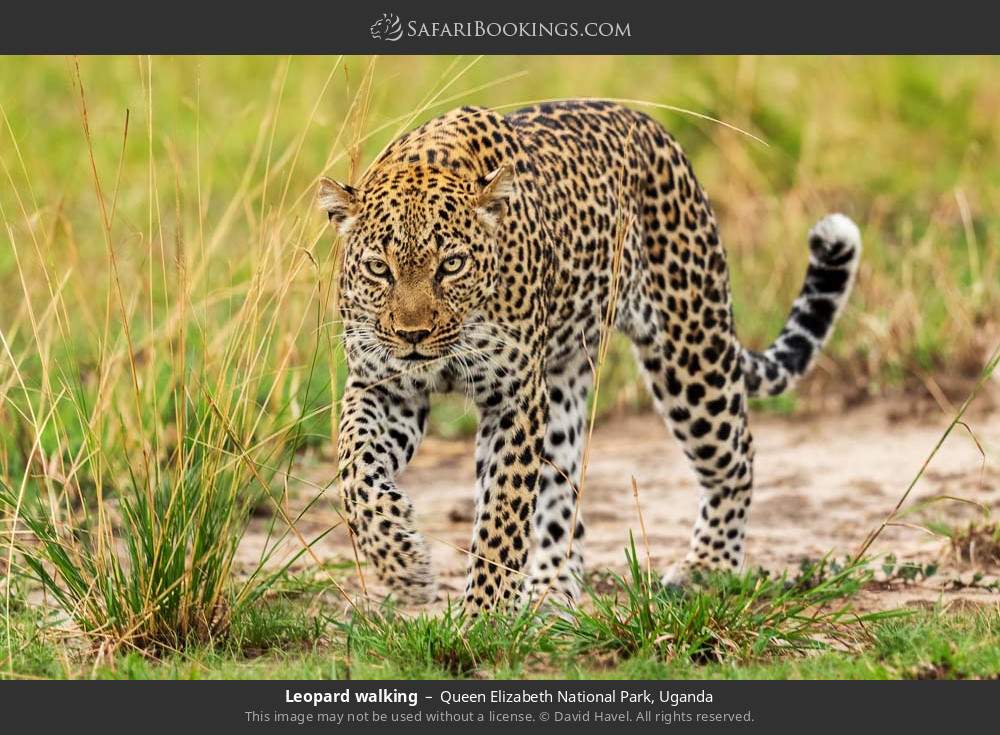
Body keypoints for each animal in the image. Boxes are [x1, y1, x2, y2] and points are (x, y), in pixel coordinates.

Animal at [318, 101, 861, 614]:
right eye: (378, 268)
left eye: (451, 265)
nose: (413, 335)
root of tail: (653, 128)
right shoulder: (384, 388)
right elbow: (354, 471)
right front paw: (404, 565)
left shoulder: (515, 398)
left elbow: (502, 515)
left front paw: (482, 617)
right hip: (565, 381)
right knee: (563, 500)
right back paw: (550, 593)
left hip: (690, 349)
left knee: (735, 456)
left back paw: (707, 567)